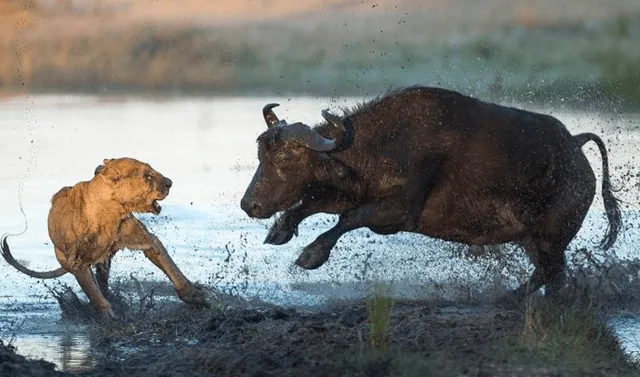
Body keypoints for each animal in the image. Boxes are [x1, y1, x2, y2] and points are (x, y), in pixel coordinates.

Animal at [240, 86, 620, 300]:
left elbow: (348, 218)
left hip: (550, 237)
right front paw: (280, 229)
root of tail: (575, 145)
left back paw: (504, 300)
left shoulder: (398, 214)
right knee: (555, 274)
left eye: (286, 158)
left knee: (549, 272)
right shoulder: (353, 191)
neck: (386, 144)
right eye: (261, 154)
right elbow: (314, 202)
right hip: (532, 239)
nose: (249, 204)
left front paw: (311, 254)